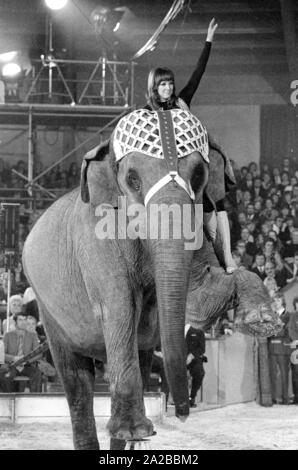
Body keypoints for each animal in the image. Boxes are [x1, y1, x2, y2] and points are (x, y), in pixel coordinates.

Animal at [23, 108, 282, 450]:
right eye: (132, 179)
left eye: (198, 176)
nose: (182, 415)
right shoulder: (96, 240)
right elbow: (118, 309)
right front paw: (134, 430)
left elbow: (202, 299)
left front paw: (262, 320)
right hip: (49, 313)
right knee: (77, 383)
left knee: (140, 360)